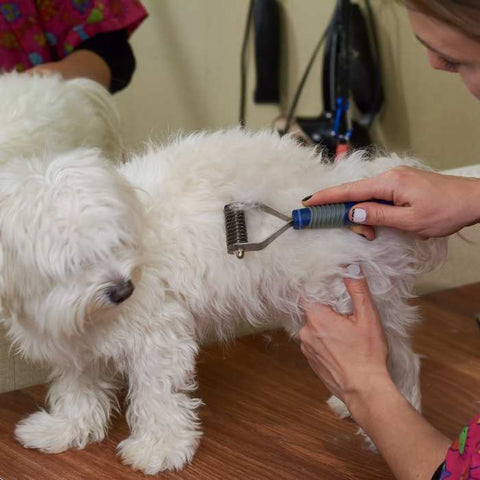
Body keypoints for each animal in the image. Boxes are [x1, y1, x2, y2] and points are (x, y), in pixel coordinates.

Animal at [0, 129, 446, 474]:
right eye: (72, 264)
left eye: (117, 242)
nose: (123, 289)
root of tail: (353, 181)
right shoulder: (75, 349)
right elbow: (79, 394)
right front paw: (64, 430)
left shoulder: (158, 337)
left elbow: (157, 397)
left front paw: (159, 449)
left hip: (340, 301)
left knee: (398, 364)